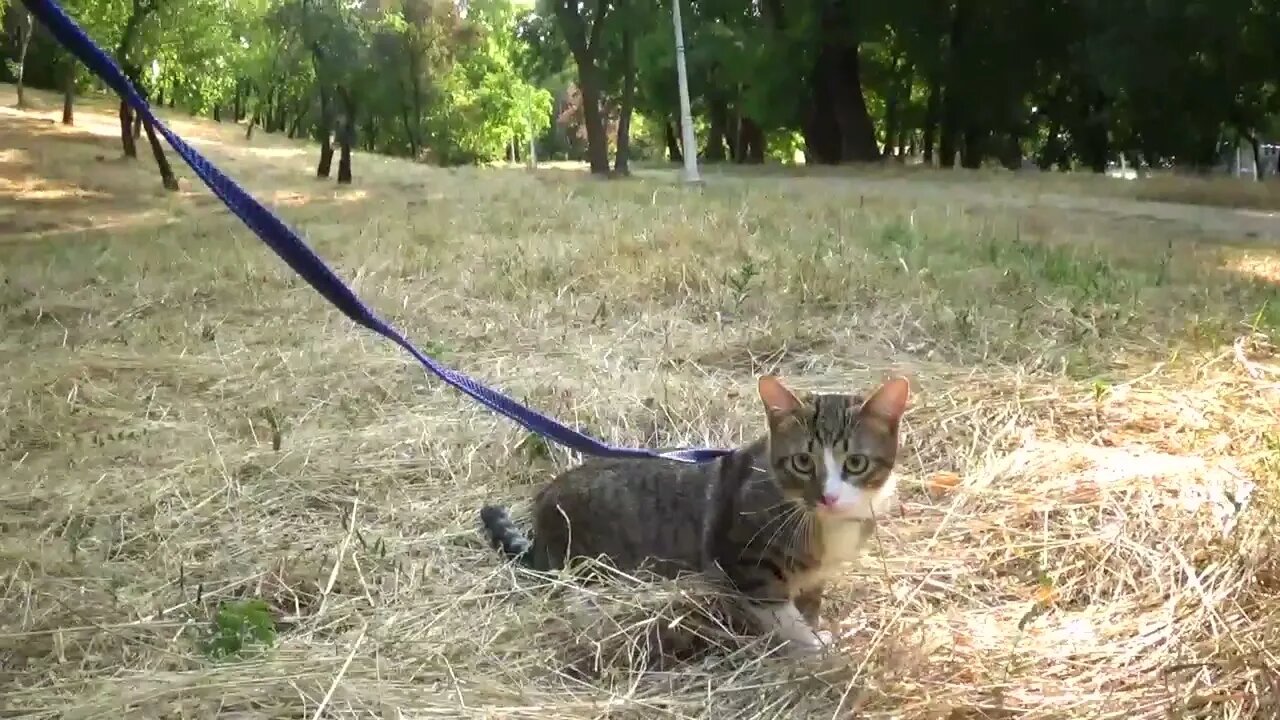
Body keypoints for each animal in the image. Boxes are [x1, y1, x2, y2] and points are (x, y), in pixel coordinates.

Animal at [481, 376, 911, 650]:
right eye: (803, 462)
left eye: (855, 463)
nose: (828, 497)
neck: (821, 523)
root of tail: (542, 513)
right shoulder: (742, 562)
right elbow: (779, 612)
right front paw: (813, 646)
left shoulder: (815, 574)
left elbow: (810, 601)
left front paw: (816, 627)